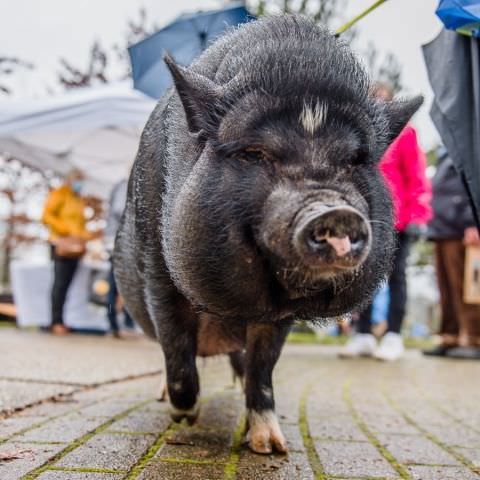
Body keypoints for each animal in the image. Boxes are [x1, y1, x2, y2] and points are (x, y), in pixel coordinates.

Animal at [114, 15, 422, 454]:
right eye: (255, 153)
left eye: (354, 160)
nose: (337, 211)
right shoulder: (158, 273)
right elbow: (176, 349)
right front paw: (184, 417)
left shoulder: (277, 314)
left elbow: (263, 366)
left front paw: (271, 447)